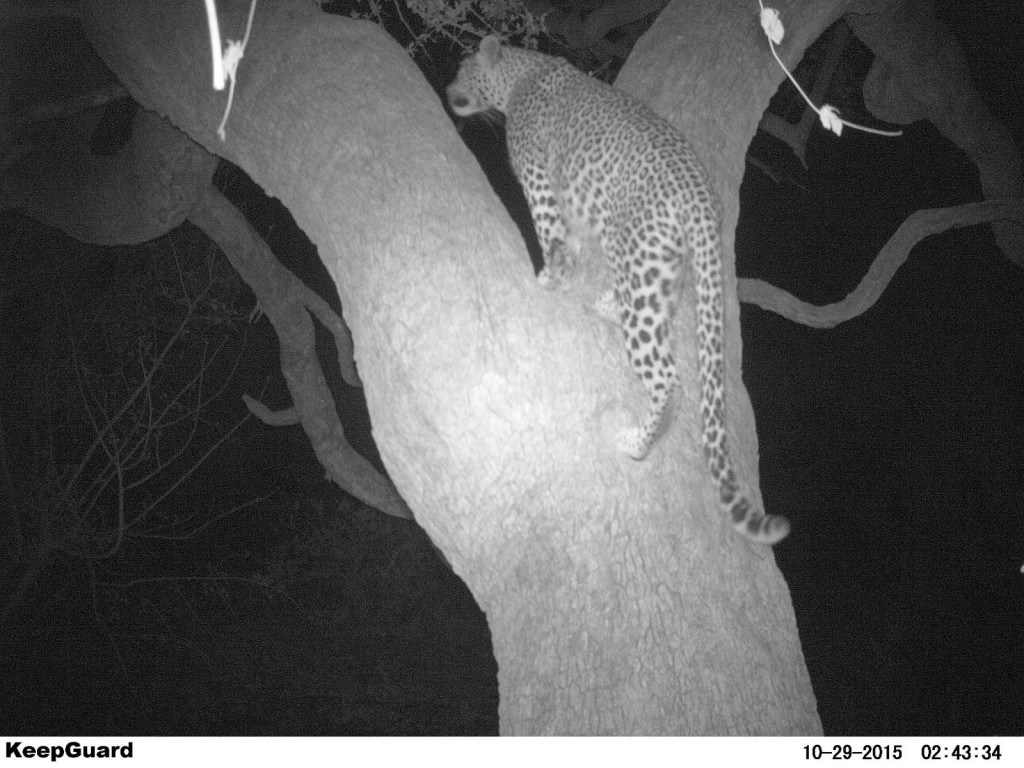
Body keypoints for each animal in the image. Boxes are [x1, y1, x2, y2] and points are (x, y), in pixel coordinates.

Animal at [447, 37, 789, 545]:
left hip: (638, 266)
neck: (519, 74)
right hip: (660, 269)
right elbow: (571, 234)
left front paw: (552, 275)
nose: (448, 91)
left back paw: (635, 443)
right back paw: (608, 305)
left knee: (669, 379)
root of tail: (703, 199)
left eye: (463, 70)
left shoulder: (537, 173)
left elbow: (551, 229)